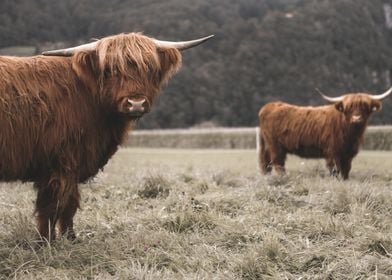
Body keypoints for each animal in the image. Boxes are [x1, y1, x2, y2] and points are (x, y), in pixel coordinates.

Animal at [0, 31, 213, 240]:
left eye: (150, 69)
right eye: (111, 71)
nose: (136, 103)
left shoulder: (72, 164)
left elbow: (69, 205)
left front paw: (71, 238)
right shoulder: (61, 164)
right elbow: (54, 207)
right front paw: (47, 241)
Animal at [258, 87, 390, 179]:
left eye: (365, 107)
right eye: (349, 108)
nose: (357, 118)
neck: (351, 134)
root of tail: (269, 106)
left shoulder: (348, 154)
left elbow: (346, 171)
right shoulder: (332, 152)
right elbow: (335, 170)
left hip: (268, 145)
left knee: (266, 162)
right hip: (275, 146)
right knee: (278, 163)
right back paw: (283, 178)